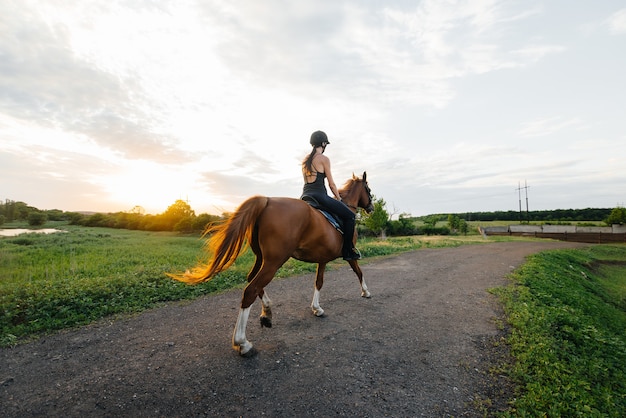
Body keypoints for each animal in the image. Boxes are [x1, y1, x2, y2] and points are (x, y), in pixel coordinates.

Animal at [169, 171, 370, 354]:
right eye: (368, 189)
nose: (371, 207)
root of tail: (267, 200)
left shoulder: (322, 259)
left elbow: (318, 282)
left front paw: (317, 308)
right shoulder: (349, 255)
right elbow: (359, 272)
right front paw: (366, 292)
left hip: (262, 258)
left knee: (252, 280)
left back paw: (267, 313)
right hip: (274, 262)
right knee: (251, 289)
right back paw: (242, 342)